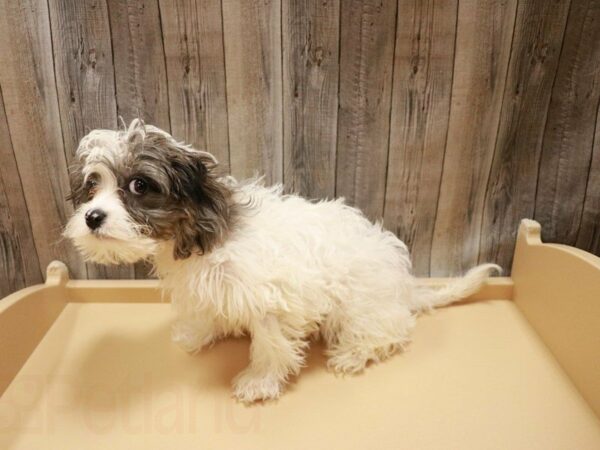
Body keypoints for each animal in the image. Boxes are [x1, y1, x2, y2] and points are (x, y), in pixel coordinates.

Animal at [63, 120, 500, 404]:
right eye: (92, 185)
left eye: (139, 185)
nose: (92, 217)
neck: (202, 235)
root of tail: (405, 289)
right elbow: (207, 313)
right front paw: (198, 333)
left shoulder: (271, 302)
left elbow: (270, 345)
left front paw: (259, 381)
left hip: (363, 307)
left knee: (390, 331)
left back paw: (355, 352)